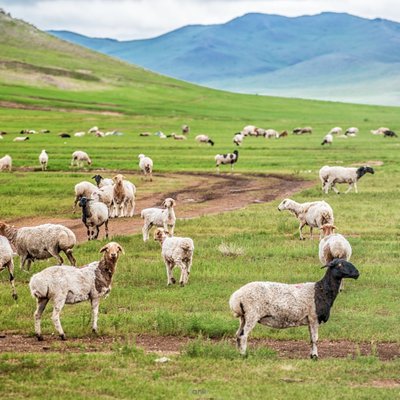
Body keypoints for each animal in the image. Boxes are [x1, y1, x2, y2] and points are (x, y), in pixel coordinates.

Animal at [228, 260, 360, 360]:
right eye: (340, 264)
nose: (357, 273)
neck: (322, 290)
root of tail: (236, 297)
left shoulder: (309, 319)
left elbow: (311, 339)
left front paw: (311, 355)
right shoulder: (313, 317)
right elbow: (315, 339)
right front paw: (315, 356)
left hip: (243, 317)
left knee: (238, 334)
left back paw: (239, 353)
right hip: (252, 314)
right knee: (243, 335)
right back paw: (244, 354)